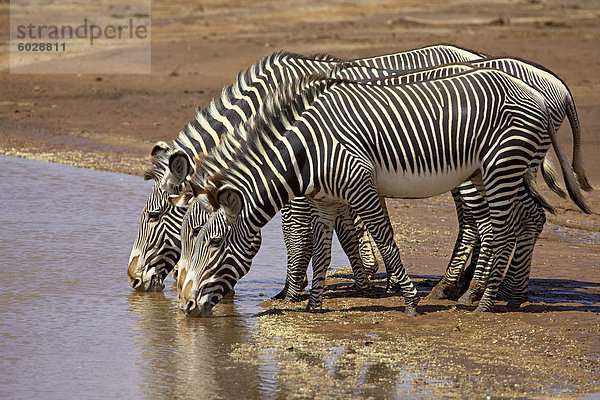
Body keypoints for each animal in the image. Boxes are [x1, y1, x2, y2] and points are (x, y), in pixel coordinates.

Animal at [169, 69, 584, 318]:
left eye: (215, 242)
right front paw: (315, 306)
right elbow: (321, 253)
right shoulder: (325, 201)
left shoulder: (360, 185)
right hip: (496, 170)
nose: (186, 304)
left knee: (504, 227)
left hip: (502, 167)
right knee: (527, 218)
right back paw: (508, 294)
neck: (306, 154)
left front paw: (410, 300)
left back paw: (482, 302)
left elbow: (384, 238)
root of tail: (538, 93)